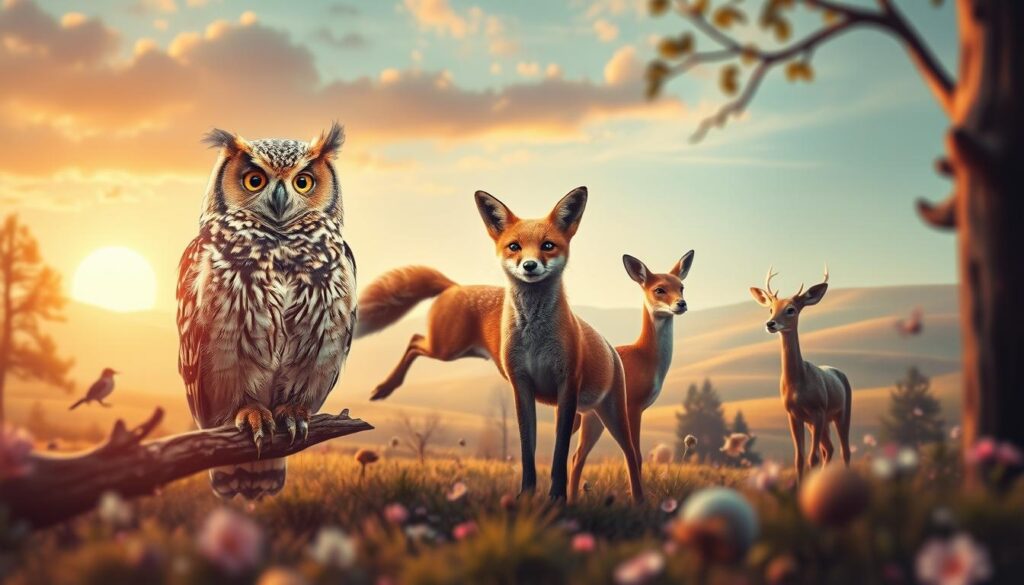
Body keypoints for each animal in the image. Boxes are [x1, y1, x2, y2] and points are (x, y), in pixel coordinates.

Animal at [356, 187, 643, 502]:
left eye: (548, 245)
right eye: (514, 247)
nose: (529, 265)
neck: (534, 339)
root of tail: (455, 286)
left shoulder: (567, 386)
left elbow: (558, 454)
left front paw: (556, 498)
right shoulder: (522, 384)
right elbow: (527, 449)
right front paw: (527, 496)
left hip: (611, 413)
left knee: (631, 454)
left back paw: (639, 501)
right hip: (448, 348)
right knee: (414, 341)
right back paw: (386, 387)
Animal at [568, 251, 694, 502]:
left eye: (681, 287)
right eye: (659, 289)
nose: (681, 304)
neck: (645, 358)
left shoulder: (638, 408)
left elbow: (636, 455)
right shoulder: (633, 405)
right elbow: (635, 455)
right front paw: (638, 499)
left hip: (594, 419)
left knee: (577, 457)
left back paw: (570, 500)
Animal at [749, 266, 852, 482]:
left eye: (791, 309)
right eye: (771, 308)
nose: (770, 323)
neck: (798, 386)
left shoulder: (818, 410)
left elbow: (812, 458)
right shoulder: (794, 414)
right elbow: (799, 459)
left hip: (841, 412)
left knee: (844, 451)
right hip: (820, 422)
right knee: (829, 449)